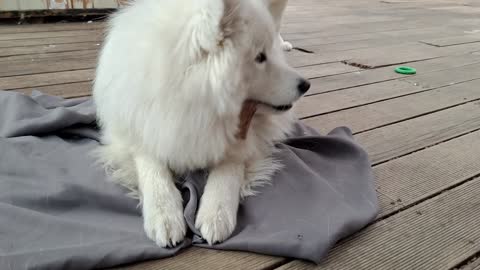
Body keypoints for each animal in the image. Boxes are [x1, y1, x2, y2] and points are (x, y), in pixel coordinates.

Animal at [93, 0, 310, 247]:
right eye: (260, 57)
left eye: (267, 53)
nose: (305, 85)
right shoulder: (139, 131)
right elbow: (152, 168)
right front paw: (164, 214)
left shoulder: (243, 141)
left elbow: (229, 169)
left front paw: (216, 213)